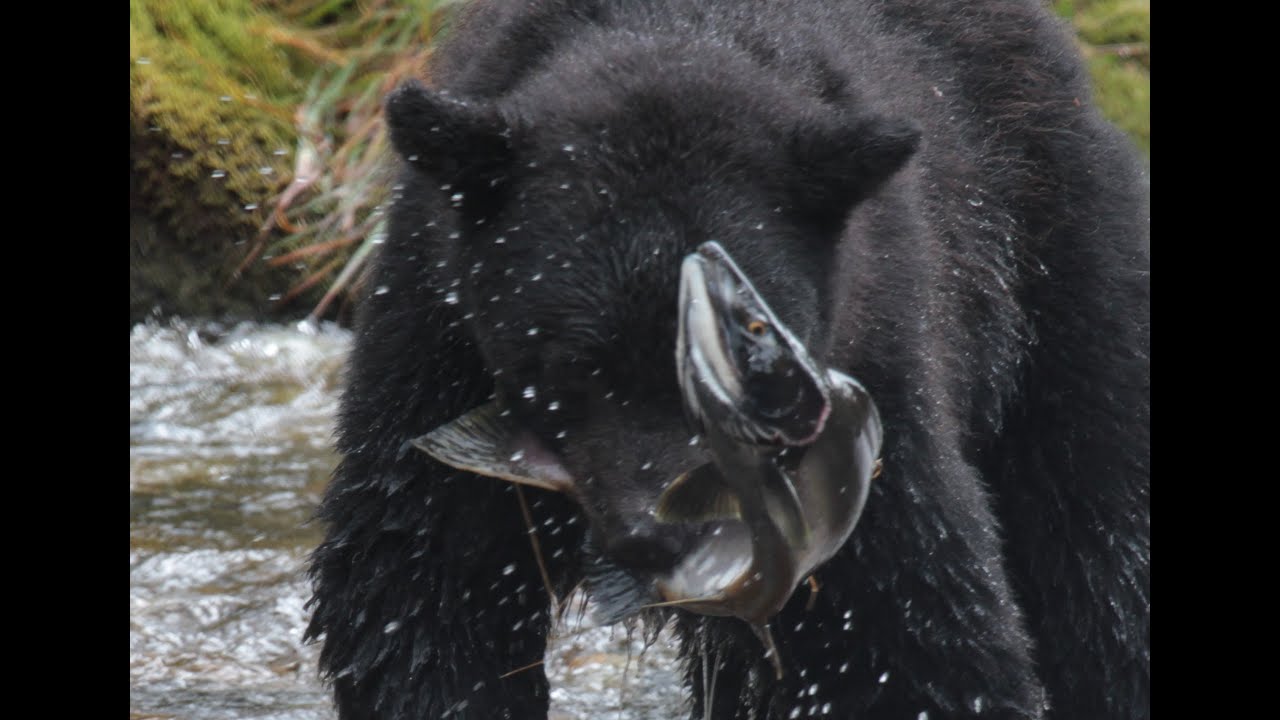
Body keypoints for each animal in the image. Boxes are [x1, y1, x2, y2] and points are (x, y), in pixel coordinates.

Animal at [305, 0, 1150, 718]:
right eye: (572, 361)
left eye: (750, 354)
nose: (657, 535)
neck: (677, 38)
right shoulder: (433, 330)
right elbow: (420, 586)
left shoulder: (873, 378)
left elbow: (904, 630)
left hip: (1056, 282)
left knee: (1099, 547)